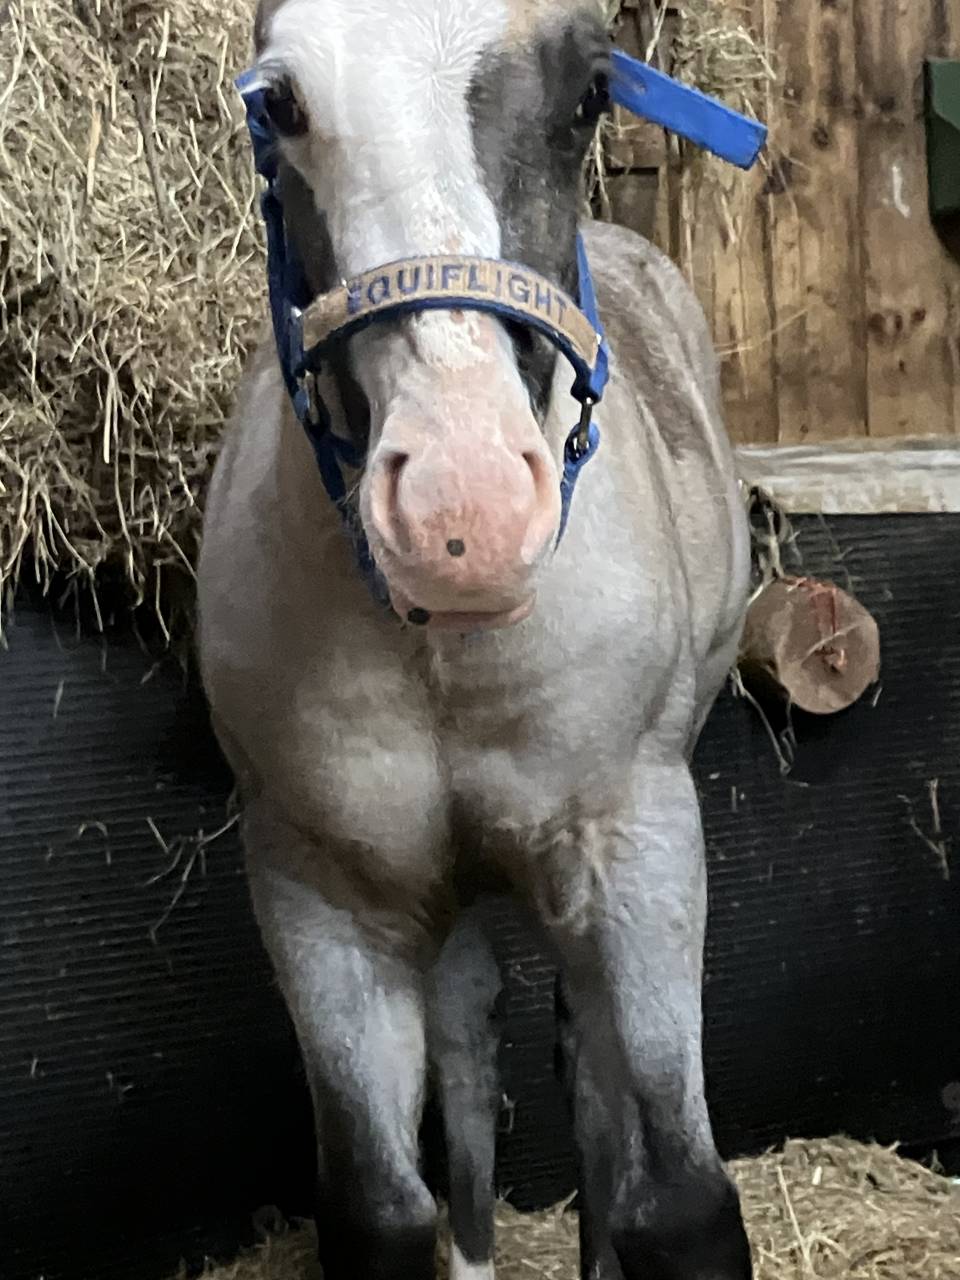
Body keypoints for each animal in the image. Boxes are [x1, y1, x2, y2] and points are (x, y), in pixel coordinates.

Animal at [197, 2, 753, 1277]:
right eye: (278, 102)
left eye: (591, 91)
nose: (465, 521)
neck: (442, 652)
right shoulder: (322, 888)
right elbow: (379, 1206)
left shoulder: (639, 841)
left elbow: (684, 1199)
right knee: (469, 1020)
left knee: (585, 1054)